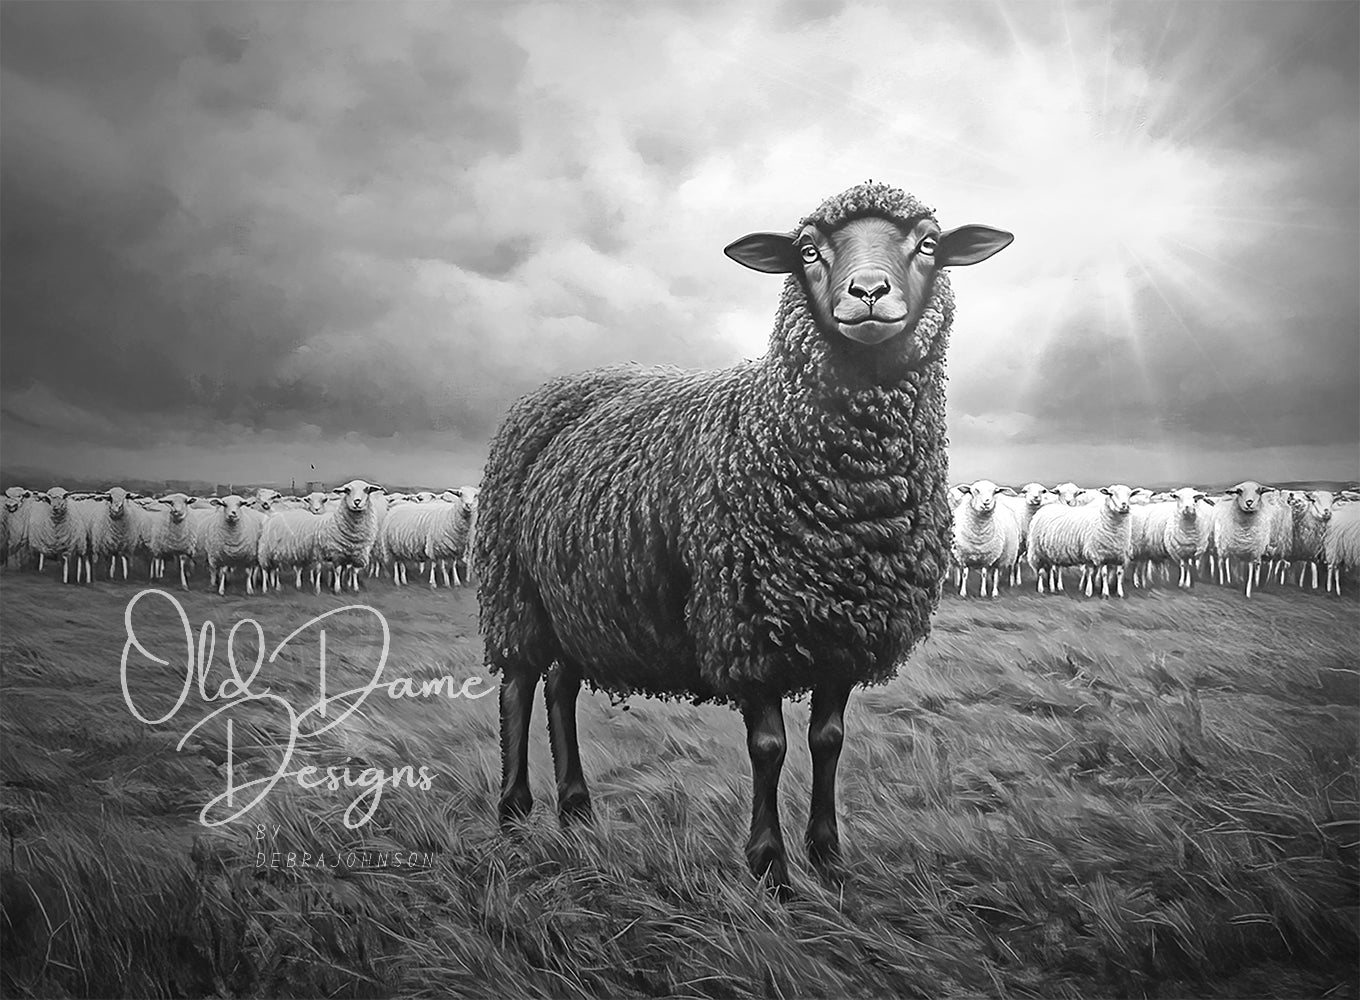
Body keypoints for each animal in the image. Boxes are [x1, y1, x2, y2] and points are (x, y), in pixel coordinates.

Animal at [475, 180, 1012, 888]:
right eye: (807, 250)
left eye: (928, 244)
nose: (868, 292)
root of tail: (561, 385)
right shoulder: (748, 625)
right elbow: (768, 747)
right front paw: (771, 870)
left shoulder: (845, 630)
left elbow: (828, 742)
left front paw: (828, 860)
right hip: (514, 590)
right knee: (517, 686)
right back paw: (513, 816)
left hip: (578, 598)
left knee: (561, 688)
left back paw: (577, 812)